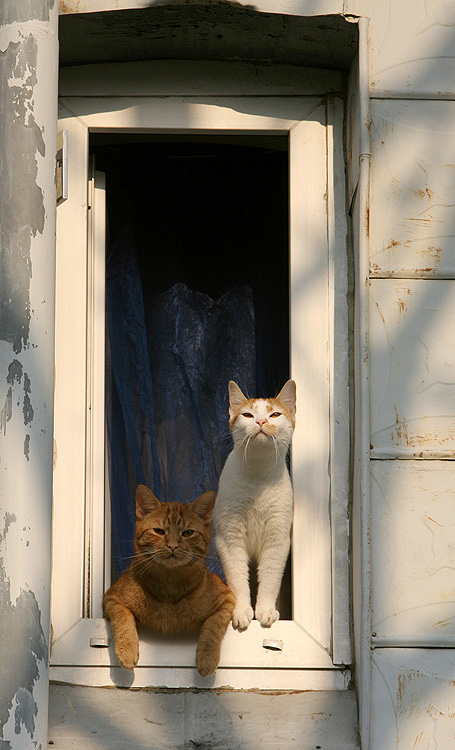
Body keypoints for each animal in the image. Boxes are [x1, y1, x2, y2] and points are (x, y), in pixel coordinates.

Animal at [101, 484, 233, 680]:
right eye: (159, 531)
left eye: (187, 533)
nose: (172, 546)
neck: (169, 584)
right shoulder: (111, 598)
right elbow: (123, 618)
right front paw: (127, 650)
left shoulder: (227, 600)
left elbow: (213, 626)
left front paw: (207, 658)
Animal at [214, 378, 296, 632]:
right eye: (248, 415)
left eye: (275, 414)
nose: (261, 421)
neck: (258, 476)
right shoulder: (229, 539)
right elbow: (238, 579)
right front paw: (241, 611)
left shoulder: (277, 540)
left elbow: (270, 578)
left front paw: (266, 610)